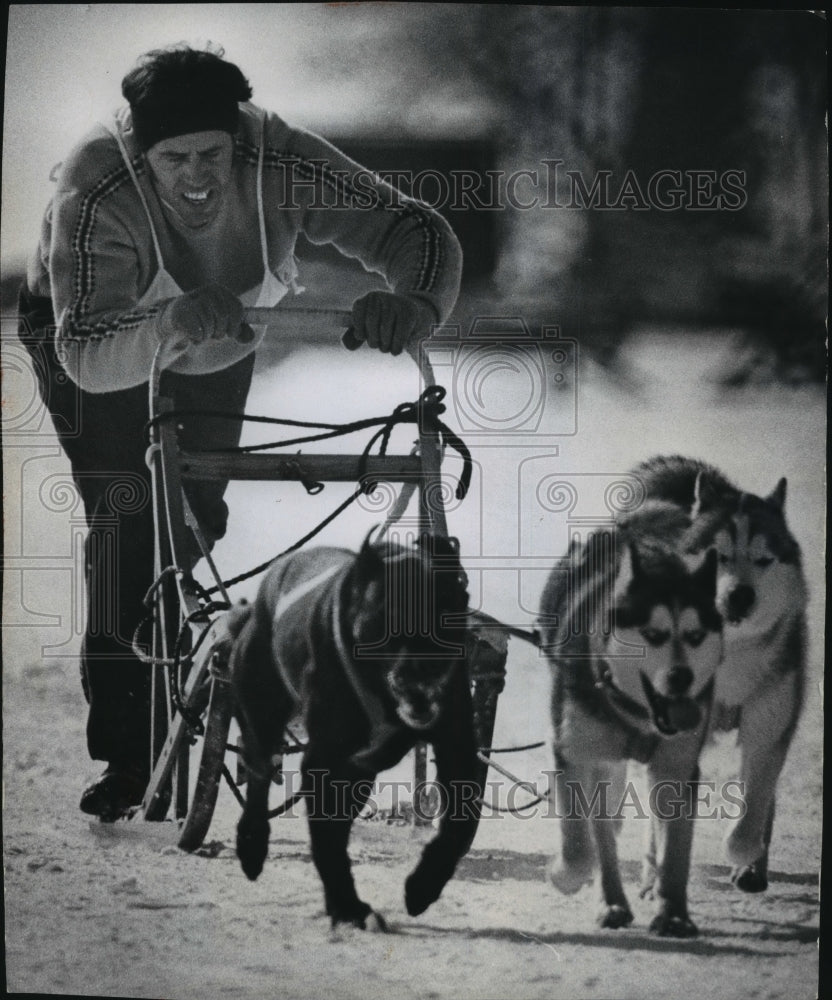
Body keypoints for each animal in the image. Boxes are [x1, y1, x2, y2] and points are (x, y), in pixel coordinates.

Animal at [231, 532, 484, 928]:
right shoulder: (324, 758)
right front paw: (348, 906)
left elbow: (459, 826)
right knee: (258, 776)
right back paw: (251, 847)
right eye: (388, 621)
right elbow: (329, 841)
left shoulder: (456, 744)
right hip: (261, 712)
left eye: (444, 616)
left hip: (360, 769)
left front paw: (422, 887)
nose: (421, 670)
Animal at [540, 508, 720, 936]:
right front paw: (570, 878)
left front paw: (673, 912)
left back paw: (649, 883)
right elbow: (581, 843)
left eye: (695, 636)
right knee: (603, 828)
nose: (682, 677)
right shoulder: (576, 754)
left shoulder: (678, 765)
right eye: (653, 634)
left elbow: (676, 850)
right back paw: (612, 898)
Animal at [632, 458, 808, 896]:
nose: (739, 595)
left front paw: (744, 854)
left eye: (763, 560)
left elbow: (755, 803)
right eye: (718, 555)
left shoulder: (769, 725)